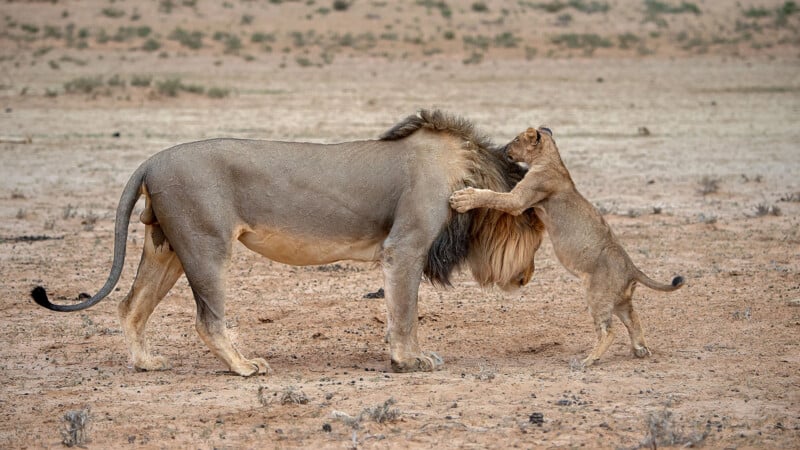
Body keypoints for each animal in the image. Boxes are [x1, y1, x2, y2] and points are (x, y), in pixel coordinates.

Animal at [31, 109, 545, 376]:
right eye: (539, 236)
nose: (528, 278)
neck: (468, 172)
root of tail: (151, 160)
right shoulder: (405, 245)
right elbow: (405, 311)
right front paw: (409, 360)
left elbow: (400, 309)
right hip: (206, 245)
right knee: (207, 319)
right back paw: (244, 366)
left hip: (167, 246)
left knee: (130, 306)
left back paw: (146, 362)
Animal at [450, 126, 684, 367]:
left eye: (516, 139)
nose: (504, 148)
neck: (550, 159)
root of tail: (631, 267)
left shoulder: (520, 199)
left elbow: (492, 196)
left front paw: (463, 198)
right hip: (620, 299)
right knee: (633, 319)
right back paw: (640, 349)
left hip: (597, 294)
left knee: (608, 331)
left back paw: (587, 361)